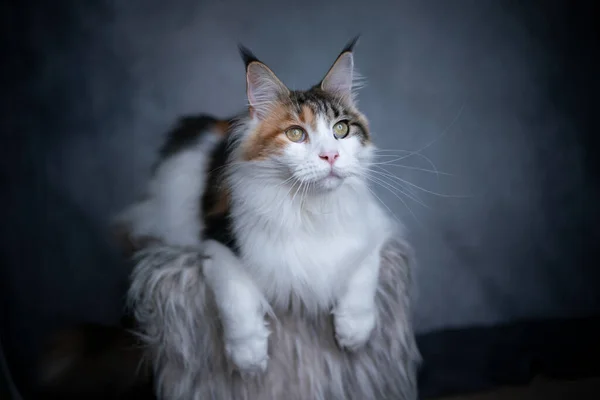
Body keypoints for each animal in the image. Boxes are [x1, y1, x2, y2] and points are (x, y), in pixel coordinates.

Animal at [116, 37, 398, 376]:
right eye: (295, 133)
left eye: (341, 129)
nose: (330, 155)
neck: (310, 208)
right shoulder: (220, 241)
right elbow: (236, 294)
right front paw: (249, 356)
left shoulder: (374, 227)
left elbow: (364, 267)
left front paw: (355, 331)